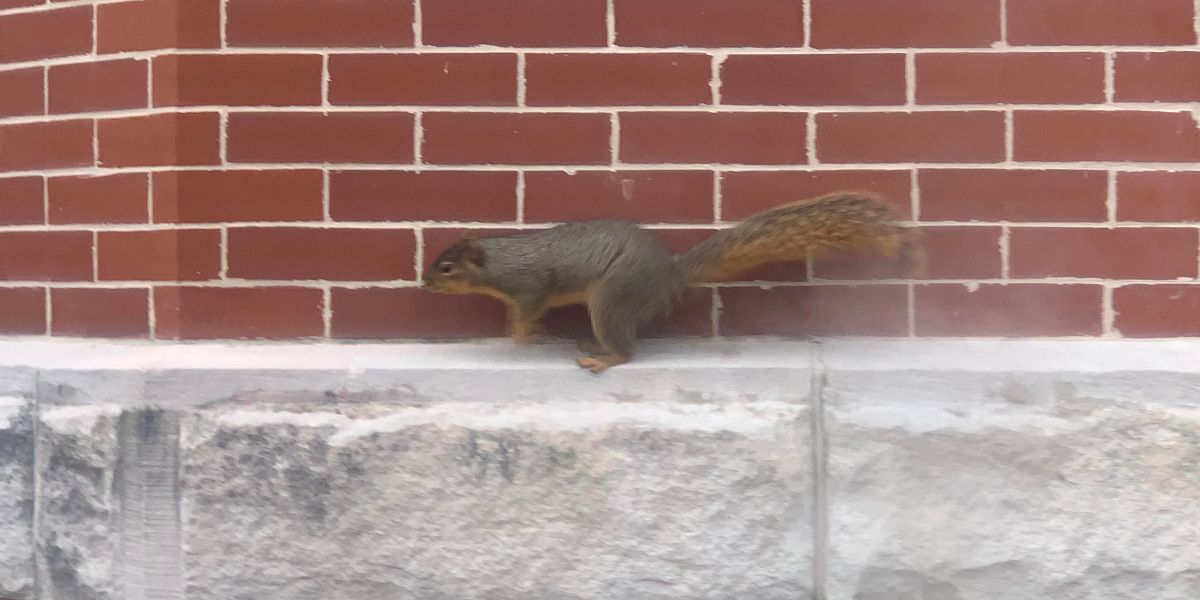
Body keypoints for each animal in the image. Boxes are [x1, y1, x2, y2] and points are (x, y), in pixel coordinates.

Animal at [422, 192, 921, 374]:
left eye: (447, 269)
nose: (424, 283)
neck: (497, 262)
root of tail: (667, 275)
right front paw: (520, 329)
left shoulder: (531, 284)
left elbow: (528, 308)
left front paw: (522, 334)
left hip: (613, 297)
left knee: (628, 349)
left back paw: (604, 358)